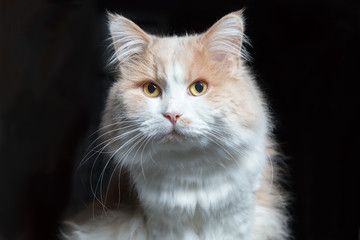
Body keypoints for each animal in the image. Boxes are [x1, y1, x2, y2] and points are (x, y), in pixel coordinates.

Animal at [62, 9, 290, 240]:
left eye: (199, 88)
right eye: (151, 90)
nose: (172, 115)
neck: (190, 169)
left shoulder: (237, 221)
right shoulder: (163, 227)